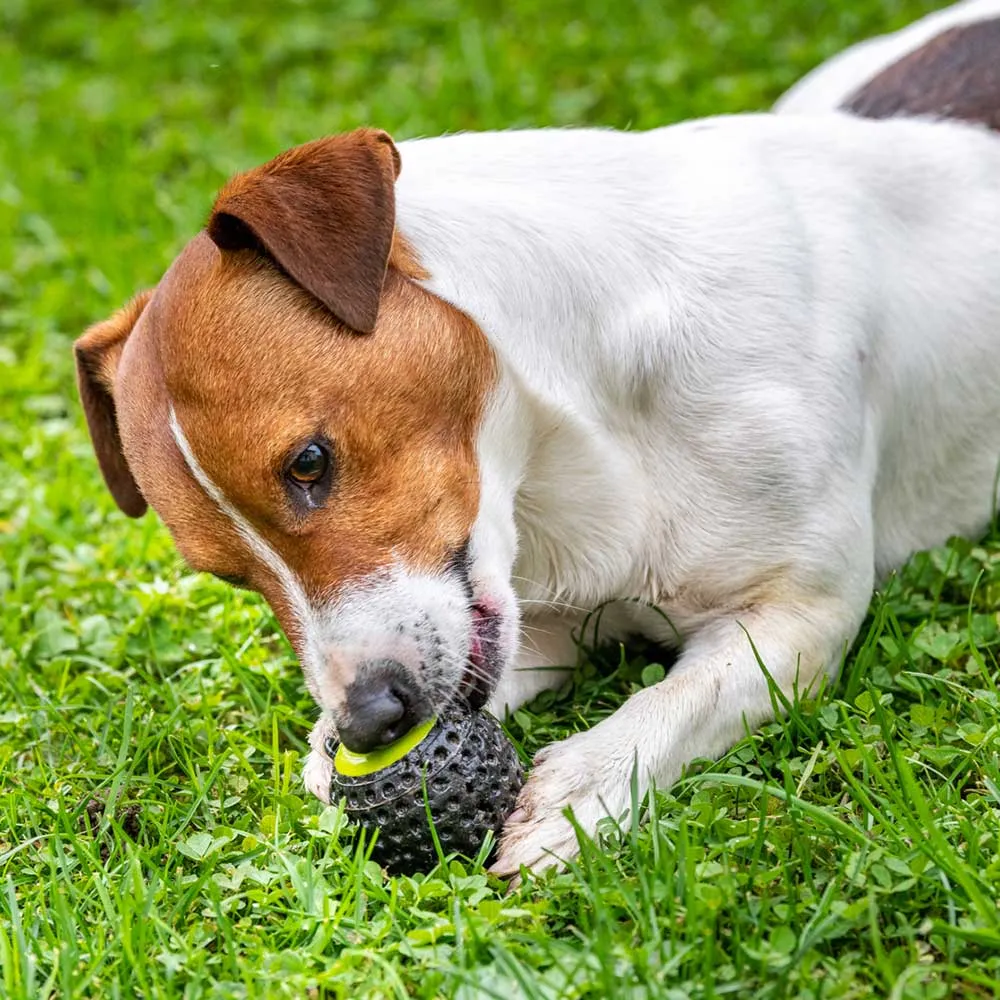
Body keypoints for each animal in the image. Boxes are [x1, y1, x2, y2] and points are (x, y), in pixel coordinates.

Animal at [76, 1, 1000, 876]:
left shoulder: (799, 619)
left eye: (309, 462)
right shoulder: (538, 620)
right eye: (228, 575)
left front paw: (590, 781)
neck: (579, 436)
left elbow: (681, 698)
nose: (368, 723)